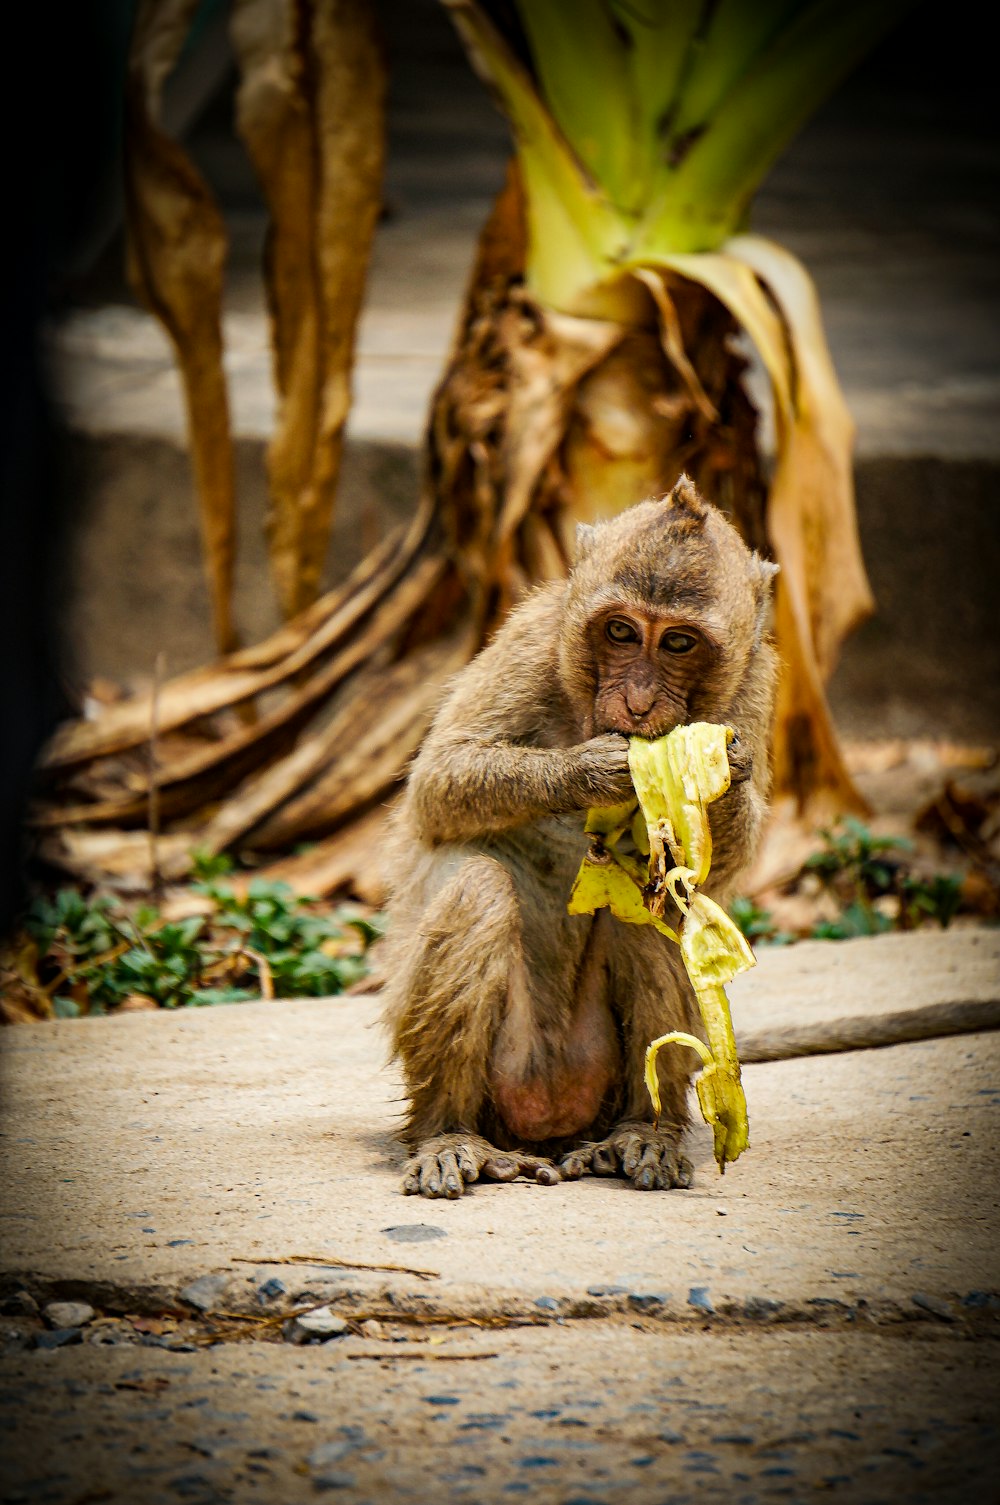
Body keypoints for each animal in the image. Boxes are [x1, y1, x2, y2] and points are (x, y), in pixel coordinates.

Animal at [382, 481, 783, 1197]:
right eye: (620, 632)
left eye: (679, 643)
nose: (640, 702)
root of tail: (550, 1113)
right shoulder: (532, 640)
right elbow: (438, 782)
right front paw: (593, 771)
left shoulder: (757, 680)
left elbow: (714, 866)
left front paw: (724, 772)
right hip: (505, 1068)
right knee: (478, 889)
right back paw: (449, 1136)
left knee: (655, 914)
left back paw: (642, 1134)